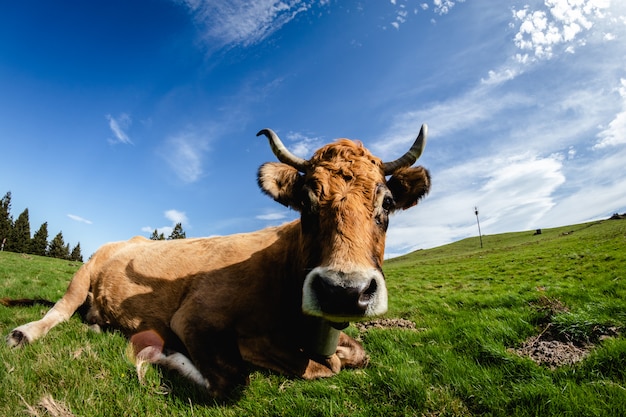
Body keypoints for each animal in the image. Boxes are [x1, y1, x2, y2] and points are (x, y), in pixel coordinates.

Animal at [6, 124, 428, 396]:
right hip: (83, 273)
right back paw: (25, 333)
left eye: (387, 203)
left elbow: (357, 355)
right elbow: (231, 379)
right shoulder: (194, 318)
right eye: (306, 202)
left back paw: (96, 325)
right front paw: (162, 354)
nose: (344, 290)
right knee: (58, 311)